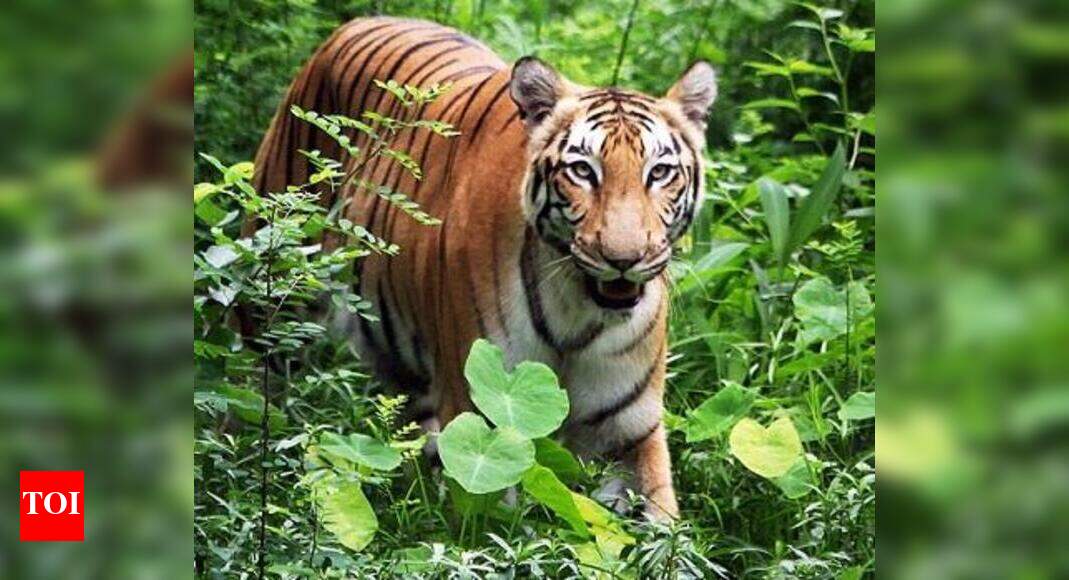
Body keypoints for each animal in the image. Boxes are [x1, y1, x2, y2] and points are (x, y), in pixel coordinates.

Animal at [253, 16, 717, 520]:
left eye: (659, 173)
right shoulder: (484, 412)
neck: (577, 310)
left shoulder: (629, 431)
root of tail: (357, 22)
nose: (624, 260)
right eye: (582, 171)